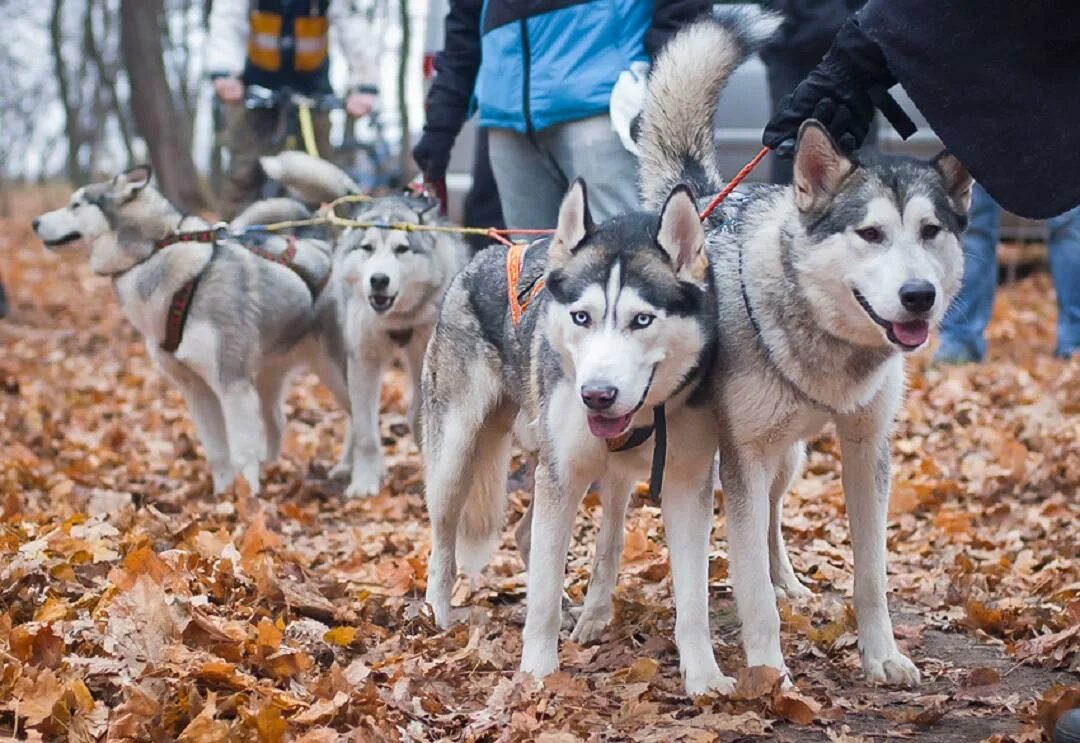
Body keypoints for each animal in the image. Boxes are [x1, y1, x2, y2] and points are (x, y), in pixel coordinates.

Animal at [32, 165, 341, 496]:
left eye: (75, 204)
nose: (35, 222)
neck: (155, 253)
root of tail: (321, 243)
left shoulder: (232, 385)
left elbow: (241, 453)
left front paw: (246, 500)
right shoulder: (195, 389)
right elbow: (218, 453)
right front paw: (221, 499)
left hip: (335, 373)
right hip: (267, 378)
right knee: (278, 422)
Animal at [260, 153, 468, 496]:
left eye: (401, 249)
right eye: (367, 248)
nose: (379, 280)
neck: (396, 319)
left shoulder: (424, 359)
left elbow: (417, 416)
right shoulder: (363, 360)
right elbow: (367, 430)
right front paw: (366, 482)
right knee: (353, 418)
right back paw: (347, 466)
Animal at [635, 17, 976, 686]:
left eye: (931, 232)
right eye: (870, 234)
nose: (919, 296)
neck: (827, 344)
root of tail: (707, 198)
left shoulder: (866, 449)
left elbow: (871, 577)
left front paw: (882, 657)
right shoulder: (742, 457)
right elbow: (750, 594)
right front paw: (770, 676)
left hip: (786, 460)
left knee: (770, 524)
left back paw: (788, 582)